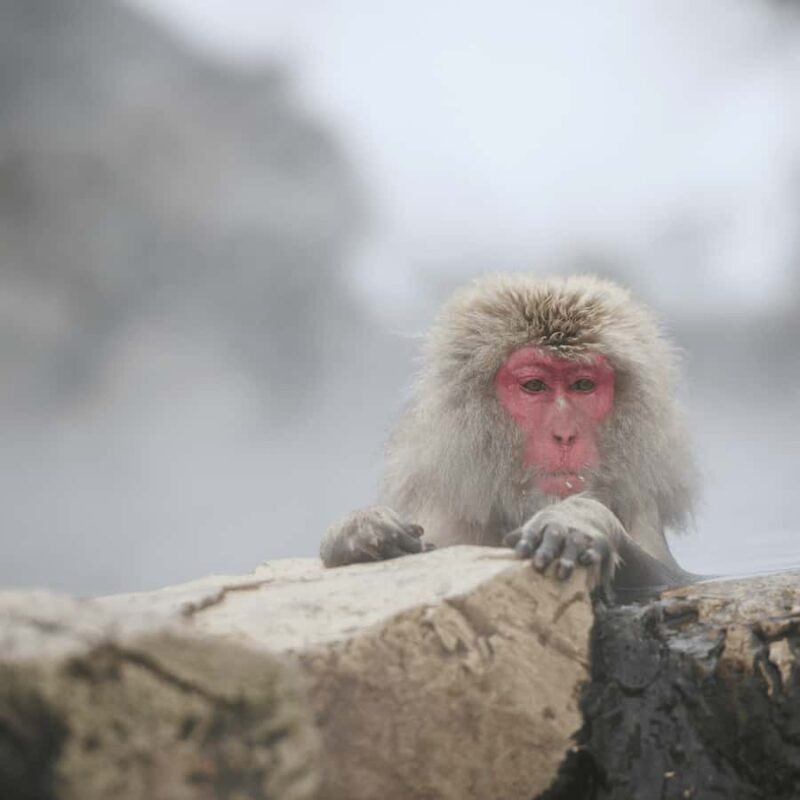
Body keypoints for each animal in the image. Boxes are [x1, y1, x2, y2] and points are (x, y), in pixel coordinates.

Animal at [320, 274, 698, 600]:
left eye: (582, 385)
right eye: (534, 385)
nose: (565, 434)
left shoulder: (643, 515)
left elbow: (681, 581)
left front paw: (579, 521)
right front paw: (358, 530)